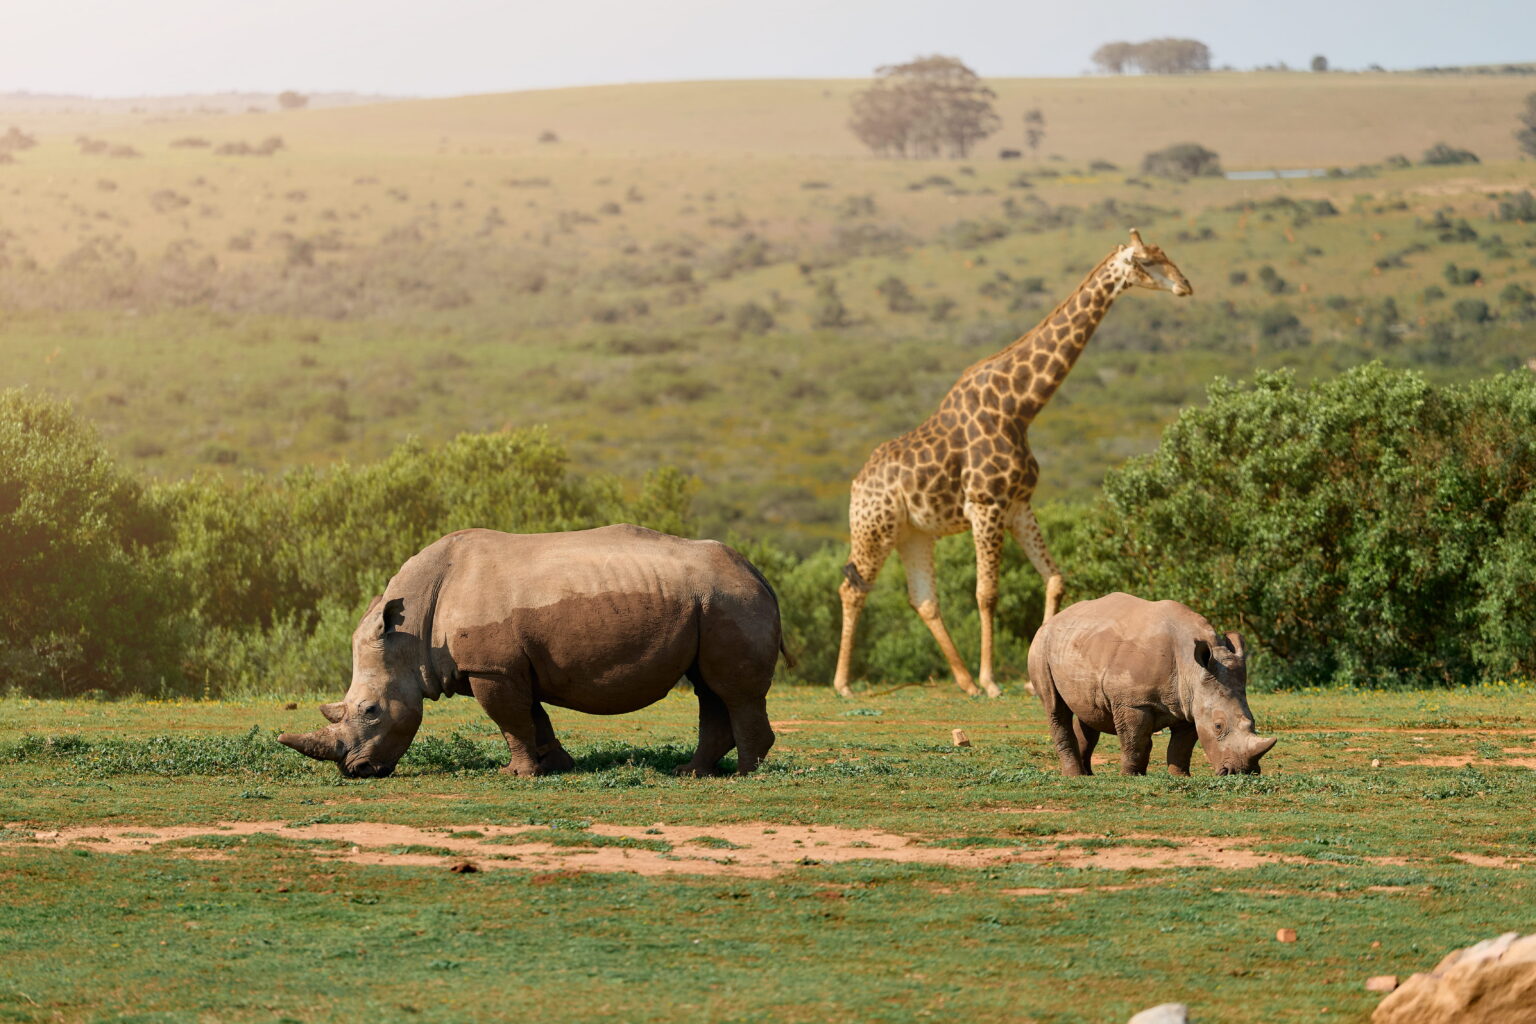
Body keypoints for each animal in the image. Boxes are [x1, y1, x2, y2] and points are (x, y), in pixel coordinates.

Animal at [279, 525, 785, 779]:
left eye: (370, 711)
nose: (355, 770)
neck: (411, 634)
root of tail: (757, 572)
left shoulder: (491, 668)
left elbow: (511, 721)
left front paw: (517, 775)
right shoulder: (506, 667)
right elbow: (534, 719)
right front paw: (557, 766)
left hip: (728, 599)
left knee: (732, 691)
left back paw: (746, 775)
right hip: (711, 601)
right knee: (708, 688)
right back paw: (690, 772)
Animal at [832, 229, 1192, 698]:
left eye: (1166, 255)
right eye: (1147, 260)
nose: (1185, 285)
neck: (1019, 407)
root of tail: (856, 485)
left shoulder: (1019, 505)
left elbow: (1054, 578)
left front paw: (1029, 678)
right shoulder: (986, 506)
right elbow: (987, 593)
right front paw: (992, 681)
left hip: (914, 534)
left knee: (924, 599)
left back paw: (963, 681)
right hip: (875, 528)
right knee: (852, 589)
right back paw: (844, 684)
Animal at [1027, 592, 1277, 776]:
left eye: (1253, 721)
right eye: (1218, 726)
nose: (1242, 772)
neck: (1192, 668)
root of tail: (1053, 619)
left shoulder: (1190, 703)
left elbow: (1181, 746)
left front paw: (1180, 776)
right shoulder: (1133, 702)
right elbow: (1135, 741)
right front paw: (1130, 776)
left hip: (1079, 644)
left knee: (1089, 713)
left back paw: (1087, 775)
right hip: (1040, 646)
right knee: (1055, 708)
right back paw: (1074, 775)